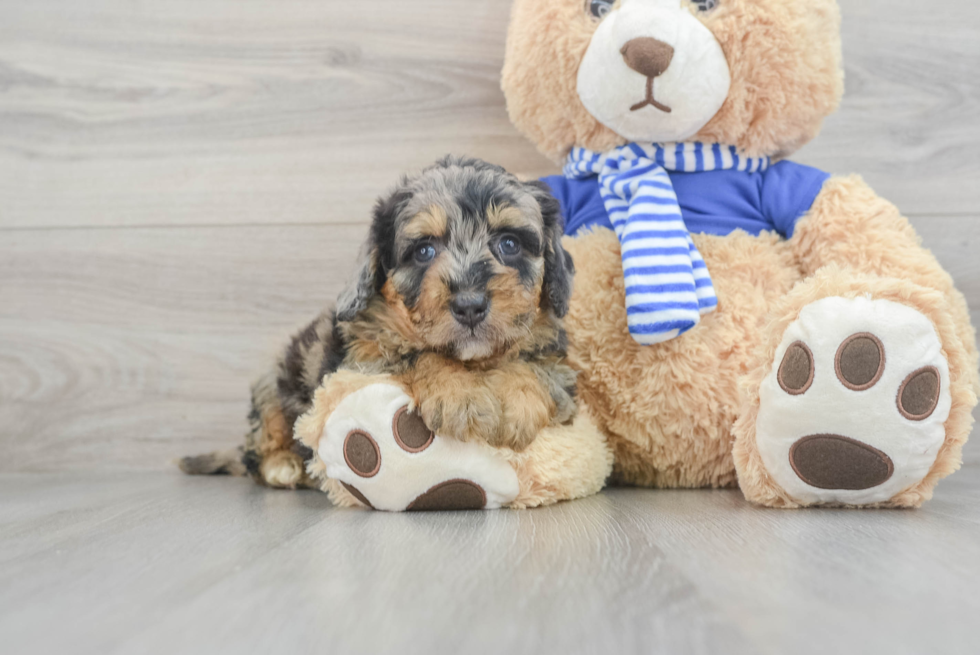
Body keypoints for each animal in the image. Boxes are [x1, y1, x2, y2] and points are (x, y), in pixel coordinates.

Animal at [180, 156, 584, 490]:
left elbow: (535, 366)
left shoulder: (558, 364)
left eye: (509, 243)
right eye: (424, 251)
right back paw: (284, 466)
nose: (470, 305)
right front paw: (461, 396)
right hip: (272, 385)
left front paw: (517, 403)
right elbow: (418, 354)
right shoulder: (361, 362)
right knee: (259, 447)